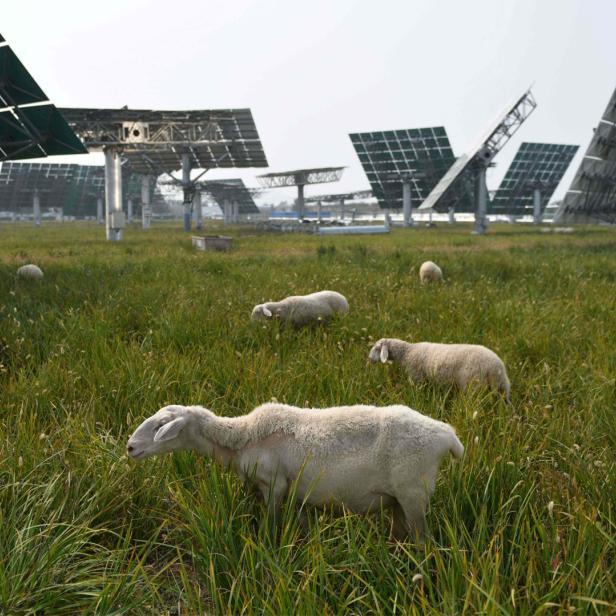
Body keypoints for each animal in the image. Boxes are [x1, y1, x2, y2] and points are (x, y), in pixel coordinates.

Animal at [127, 400, 464, 540]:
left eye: (161, 426)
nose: (129, 447)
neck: (243, 437)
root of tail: (447, 435)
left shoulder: (273, 484)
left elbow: (270, 523)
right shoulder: (292, 493)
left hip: (414, 492)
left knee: (423, 540)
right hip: (398, 499)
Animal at [368, 336, 508, 404]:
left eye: (377, 348)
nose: (369, 359)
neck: (407, 352)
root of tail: (497, 367)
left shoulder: (417, 378)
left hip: (473, 385)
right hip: (502, 389)